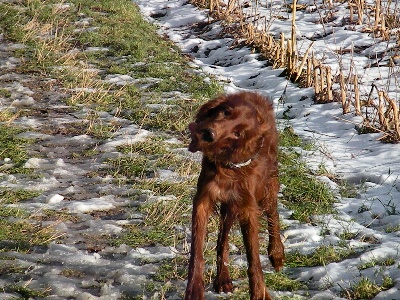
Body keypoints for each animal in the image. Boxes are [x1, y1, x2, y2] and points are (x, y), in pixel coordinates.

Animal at [185, 91, 284, 300]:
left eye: (238, 134)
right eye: (225, 112)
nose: (208, 134)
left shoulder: (247, 208)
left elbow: (254, 257)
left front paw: (259, 291)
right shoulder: (204, 200)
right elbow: (197, 250)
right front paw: (194, 288)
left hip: (267, 186)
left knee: (273, 213)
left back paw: (277, 253)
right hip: (230, 206)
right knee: (222, 239)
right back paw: (223, 279)